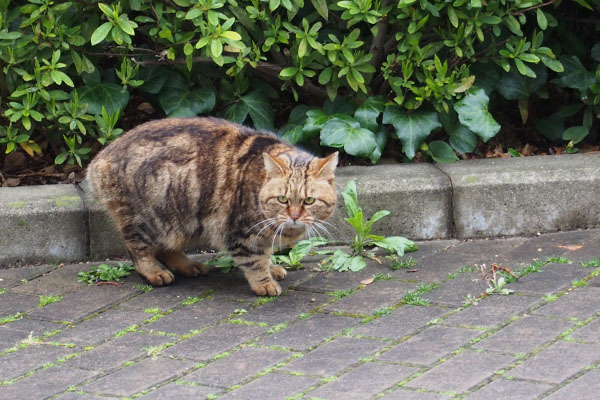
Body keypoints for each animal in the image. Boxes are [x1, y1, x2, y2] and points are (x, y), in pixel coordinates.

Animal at [86, 117, 338, 296]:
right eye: (282, 199)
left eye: (309, 201)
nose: (294, 216)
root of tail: (99, 160)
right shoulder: (241, 232)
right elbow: (255, 262)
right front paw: (264, 282)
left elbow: (266, 255)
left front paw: (273, 268)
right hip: (149, 219)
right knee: (138, 249)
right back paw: (155, 272)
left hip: (179, 223)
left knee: (167, 247)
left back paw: (187, 266)